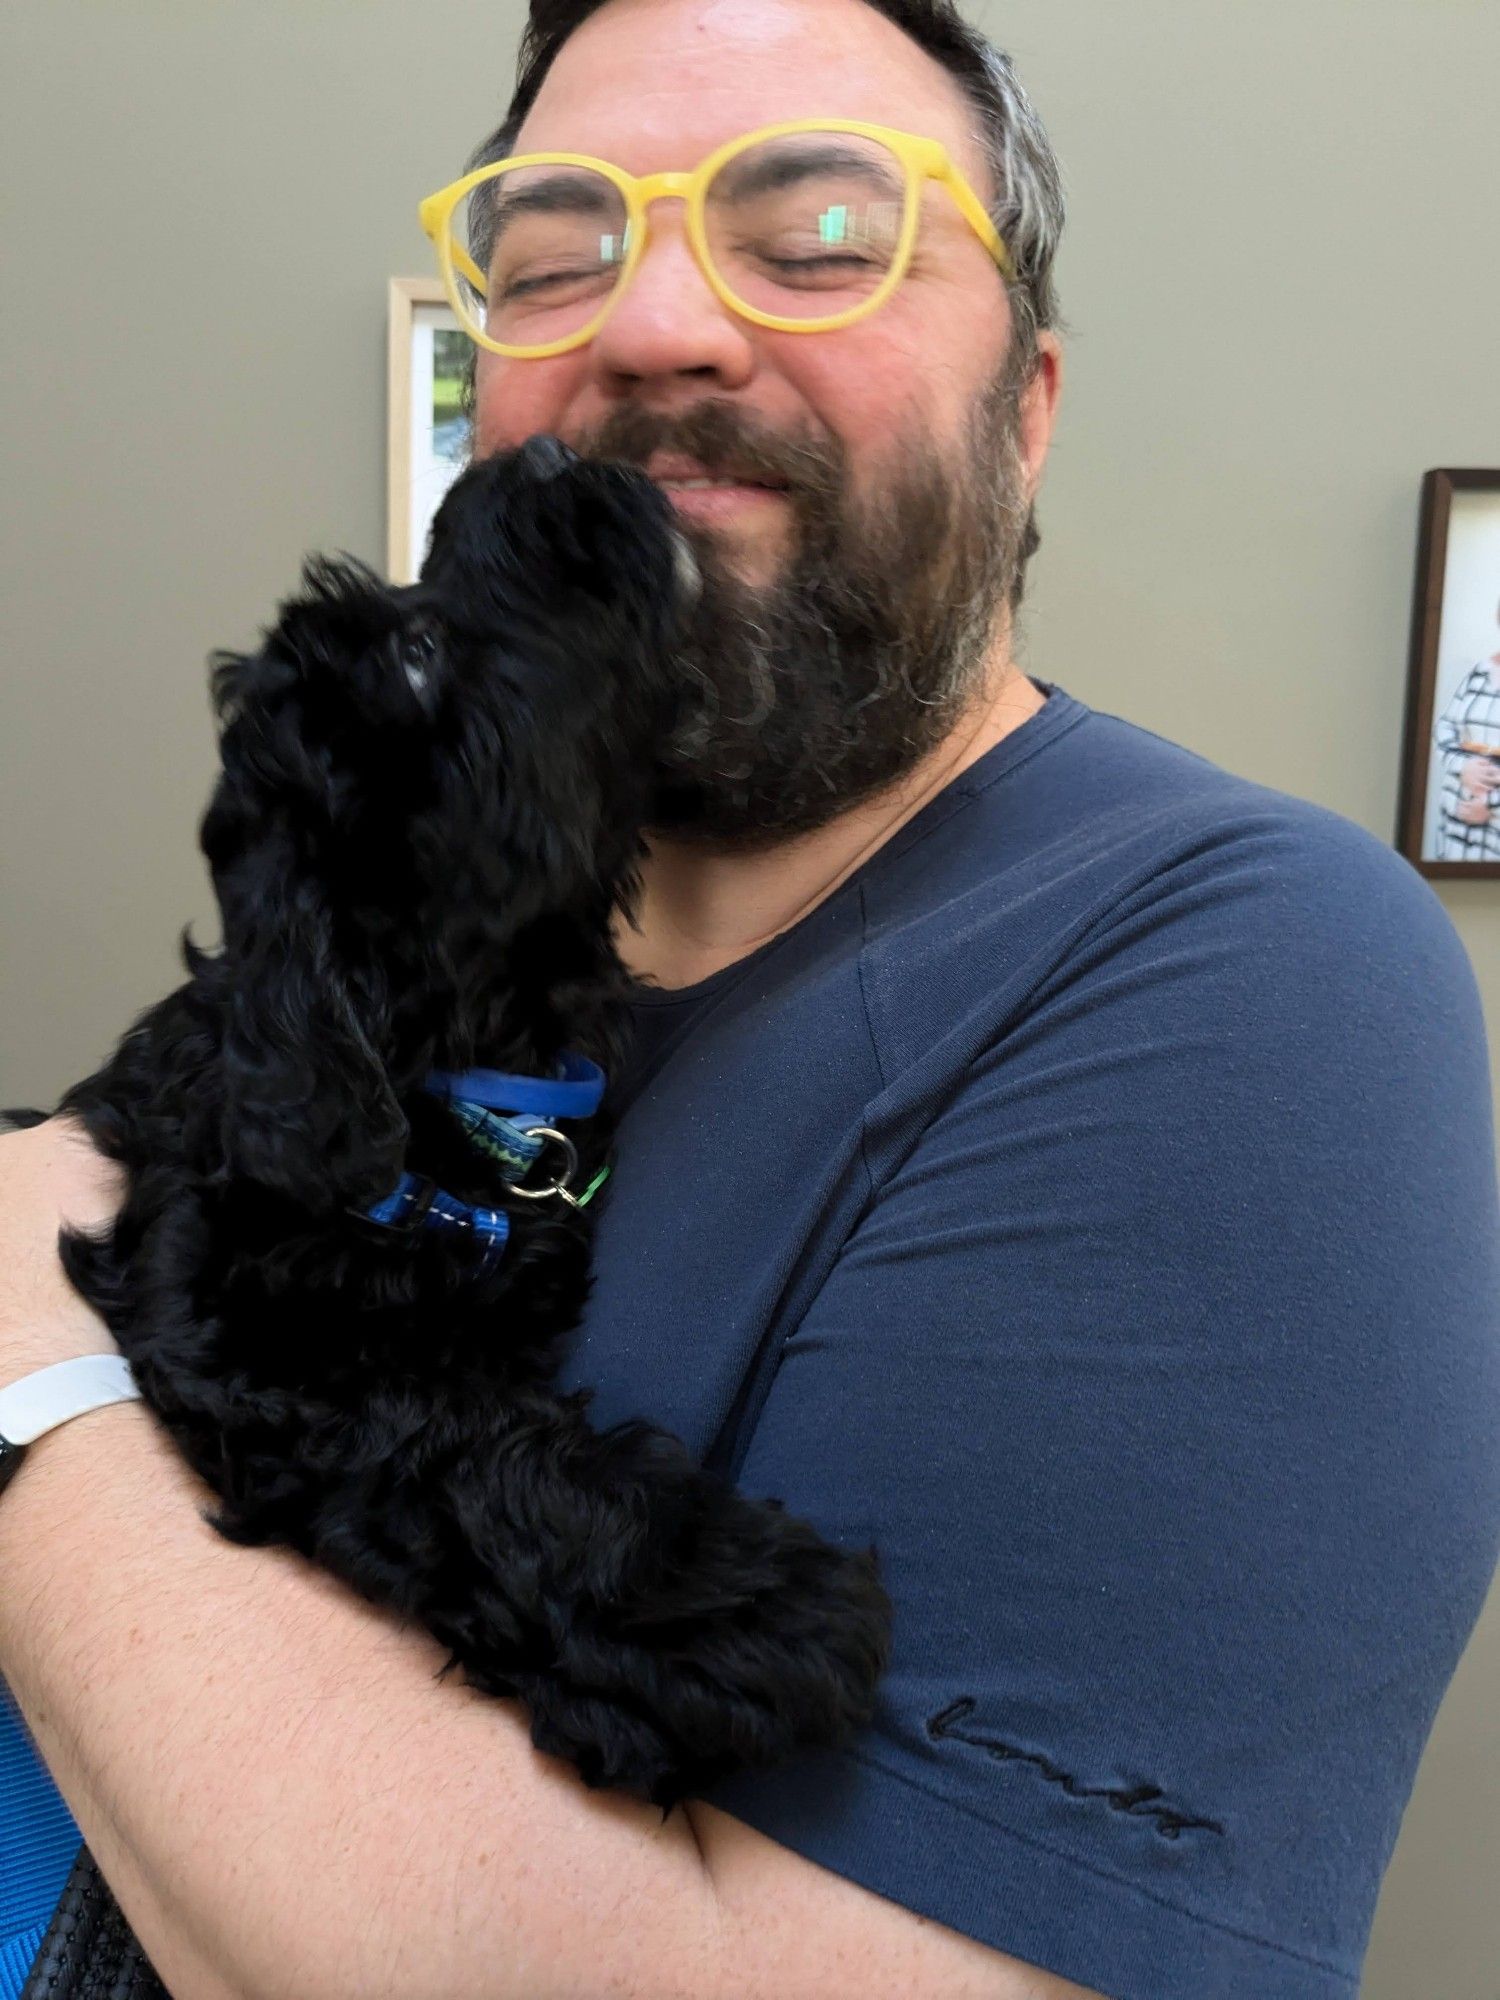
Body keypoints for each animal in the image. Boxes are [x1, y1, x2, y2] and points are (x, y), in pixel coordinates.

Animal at [14, 438, 892, 1816]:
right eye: (419, 653)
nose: (543, 451)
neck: (444, 1071)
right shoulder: (232, 1337)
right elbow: (451, 1436)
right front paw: (737, 1602)